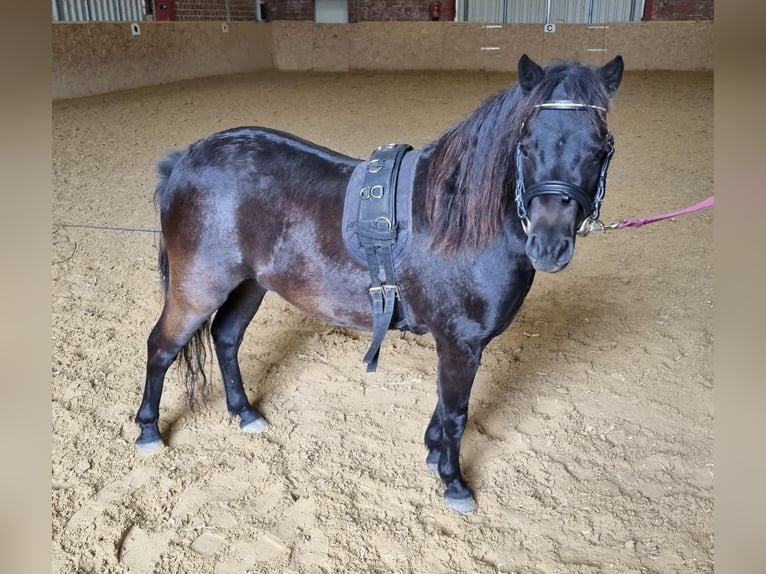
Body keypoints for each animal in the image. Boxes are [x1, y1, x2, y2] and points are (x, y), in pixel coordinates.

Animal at [135, 53, 628, 512]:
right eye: (525, 146)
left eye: (598, 149)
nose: (548, 245)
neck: (456, 220)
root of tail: (185, 161)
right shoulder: (460, 343)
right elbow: (456, 413)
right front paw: (453, 482)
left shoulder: (457, 345)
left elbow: (443, 407)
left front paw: (432, 452)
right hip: (197, 289)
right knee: (161, 348)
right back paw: (148, 431)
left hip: (250, 285)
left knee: (226, 337)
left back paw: (244, 412)